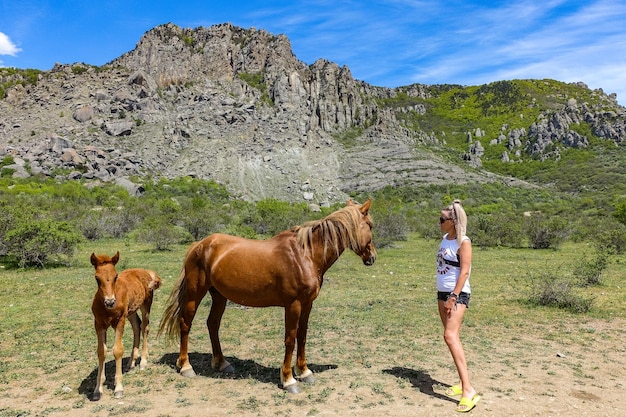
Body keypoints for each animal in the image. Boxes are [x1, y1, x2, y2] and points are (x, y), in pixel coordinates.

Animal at [91, 250, 163, 400]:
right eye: (97, 278)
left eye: (115, 276)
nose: (110, 302)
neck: (108, 310)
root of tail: (146, 272)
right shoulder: (99, 324)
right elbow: (101, 352)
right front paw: (97, 390)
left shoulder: (119, 321)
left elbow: (117, 350)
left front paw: (118, 387)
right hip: (131, 312)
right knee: (137, 326)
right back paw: (131, 363)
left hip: (145, 306)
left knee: (145, 327)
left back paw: (143, 362)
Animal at [160, 198, 376, 394]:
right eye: (371, 225)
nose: (372, 257)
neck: (305, 255)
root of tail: (199, 244)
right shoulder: (293, 305)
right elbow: (290, 339)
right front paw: (289, 380)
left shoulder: (307, 304)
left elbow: (302, 336)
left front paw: (304, 371)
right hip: (194, 294)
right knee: (185, 324)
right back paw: (185, 366)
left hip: (219, 296)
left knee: (213, 324)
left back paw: (222, 363)